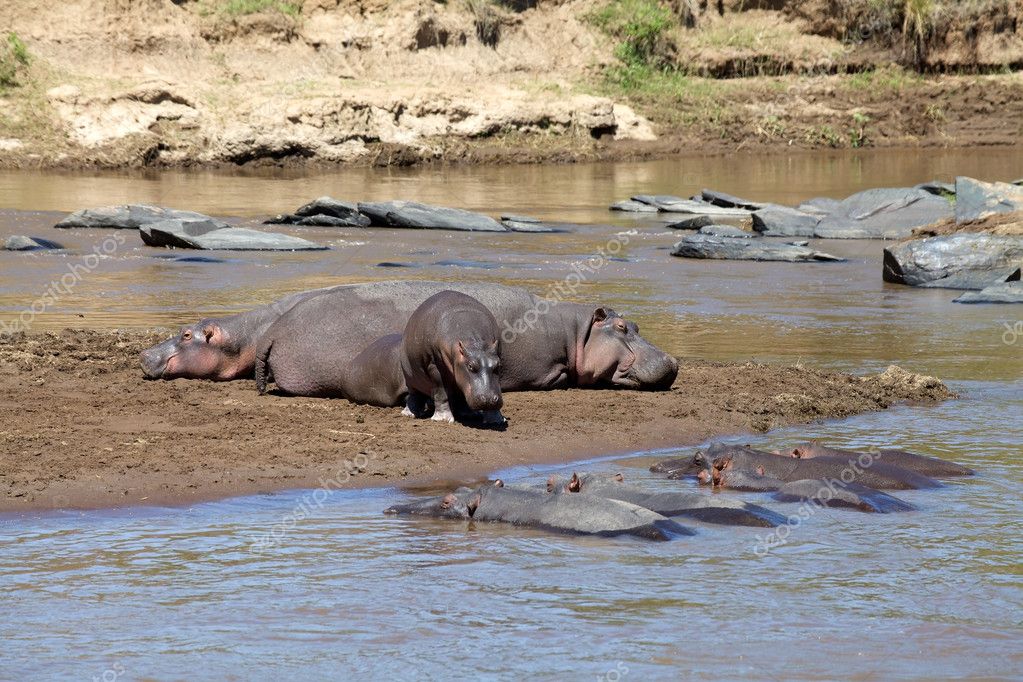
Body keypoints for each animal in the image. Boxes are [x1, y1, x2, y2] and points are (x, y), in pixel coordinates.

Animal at [398, 290, 503, 427]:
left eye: (498, 365)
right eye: (470, 366)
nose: (489, 399)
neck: (475, 344)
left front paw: (497, 420)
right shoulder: (434, 366)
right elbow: (441, 392)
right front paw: (442, 419)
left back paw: (469, 414)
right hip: (410, 377)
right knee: (414, 396)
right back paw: (409, 413)